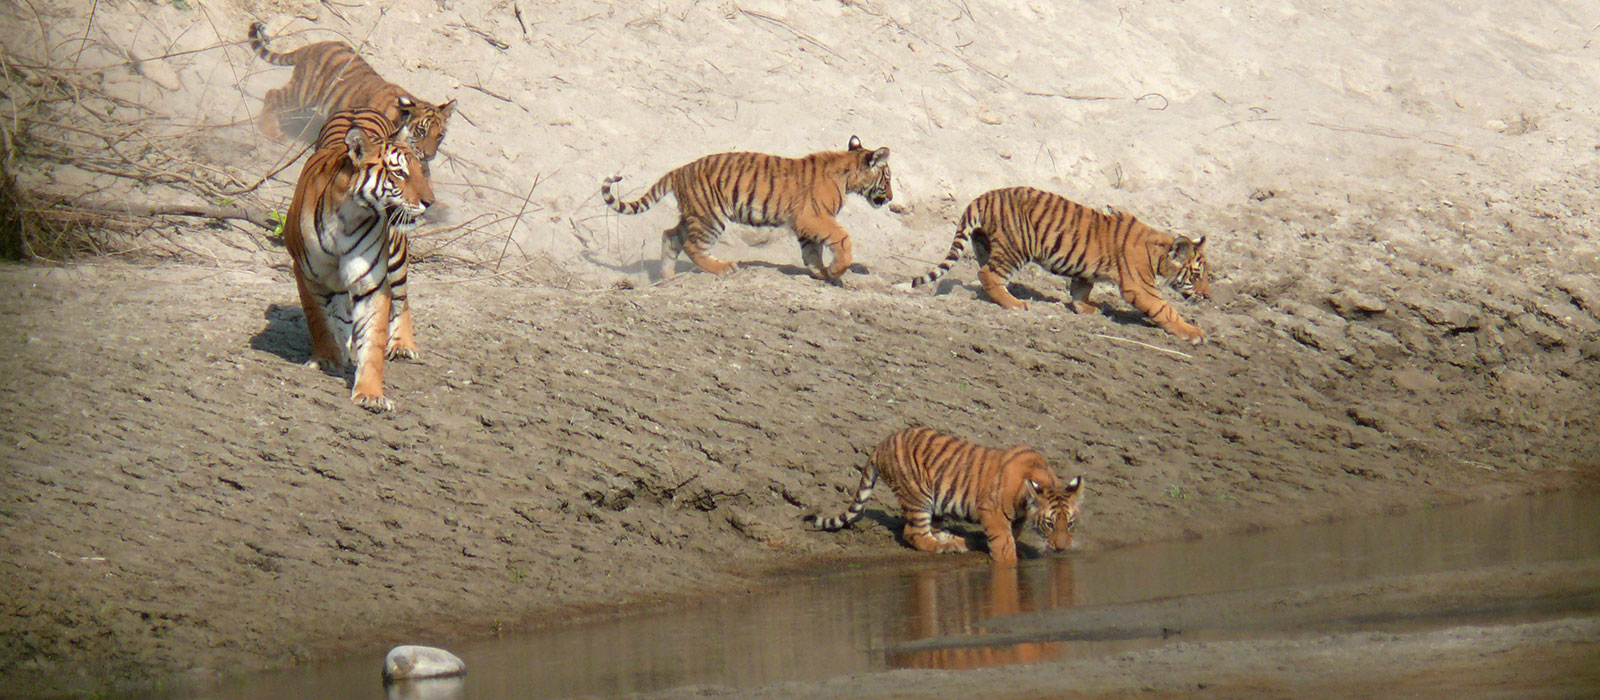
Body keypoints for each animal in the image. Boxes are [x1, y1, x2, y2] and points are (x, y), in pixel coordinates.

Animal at [246, 22, 457, 171]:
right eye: (421, 131)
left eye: (439, 136)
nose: (428, 155)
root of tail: (313, 45)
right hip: (304, 94)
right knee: (272, 95)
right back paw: (270, 131)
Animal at [280, 103, 432, 409]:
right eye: (400, 173)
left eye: (420, 172)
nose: (430, 202)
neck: (348, 217)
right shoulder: (307, 274)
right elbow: (319, 319)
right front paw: (327, 358)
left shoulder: (372, 282)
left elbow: (373, 339)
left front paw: (371, 394)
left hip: (396, 257)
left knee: (403, 300)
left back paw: (403, 346)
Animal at [601, 135, 902, 282]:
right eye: (887, 178)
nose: (890, 198)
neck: (847, 174)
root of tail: (679, 170)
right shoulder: (814, 216)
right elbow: (842, 238)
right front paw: (838, 270)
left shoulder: (805, 222)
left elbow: (812, 252)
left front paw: (822, 274)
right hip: (710, 217)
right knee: (693, 247)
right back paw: (724, 268)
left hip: (694, 214)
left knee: (670, 236)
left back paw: (666, 276)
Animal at [806, 425, 1081, 565]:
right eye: (1049, 523)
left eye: (1070, 523)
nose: (1062, 548)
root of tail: (880, 445)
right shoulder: (992, 511)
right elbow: (1004, 542)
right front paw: (1010, 560)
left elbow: (1012, 534)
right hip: (919, 495)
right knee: (914, 533)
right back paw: (945, 547)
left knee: (932, 528)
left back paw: (958, 541)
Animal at [902, 186, 1209, 343]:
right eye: (1196, 275)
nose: (1207, 296)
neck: (1158, 253)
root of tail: (983, 196)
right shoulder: (1140, 287)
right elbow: (1166, 309)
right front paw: (1194, 333)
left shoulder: (1086, 270)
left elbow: (1080, 288)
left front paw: (1086, 308)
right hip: (1017, 247)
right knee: (988, 273)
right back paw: (1015, 304)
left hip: (985, 243)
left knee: (984, 272)